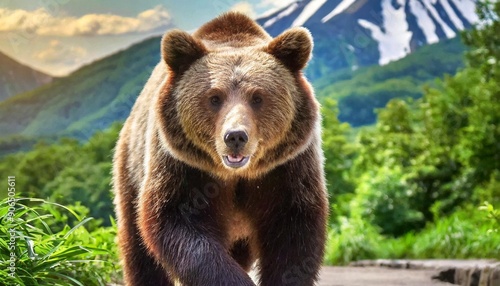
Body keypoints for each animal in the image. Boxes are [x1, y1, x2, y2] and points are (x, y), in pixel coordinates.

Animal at [114, 11, 328, 286]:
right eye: (214, 97)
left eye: (257, 97)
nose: (235, 136)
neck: (237, 175)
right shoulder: (183, 167)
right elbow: (179, 225)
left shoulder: (287, 168)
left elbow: (292, 235)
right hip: (132, 166)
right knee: (138, 247)